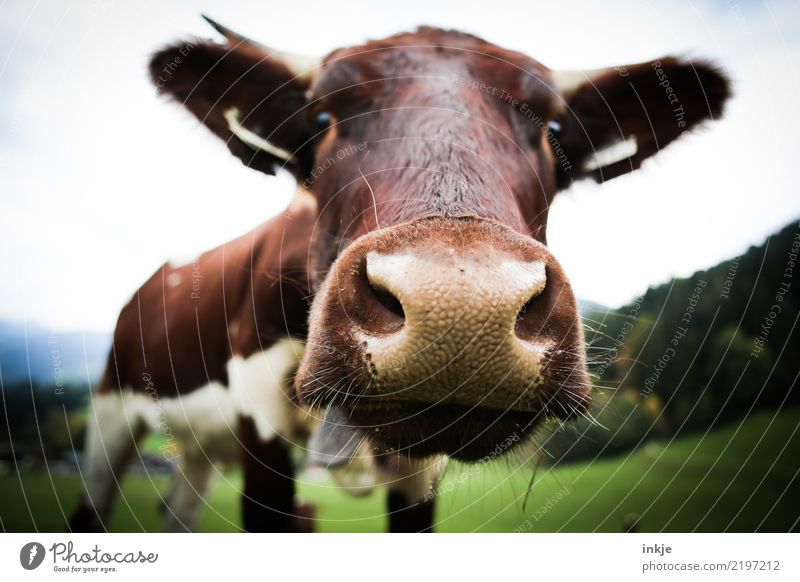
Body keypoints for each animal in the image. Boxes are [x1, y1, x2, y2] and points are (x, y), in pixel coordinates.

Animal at [70, 18, 732, 536]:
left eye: (554, 132)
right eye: (323, 117)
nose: (464, 308)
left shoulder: (417, 474)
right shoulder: (258, 422)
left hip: (196, 455)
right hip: (110, 415)